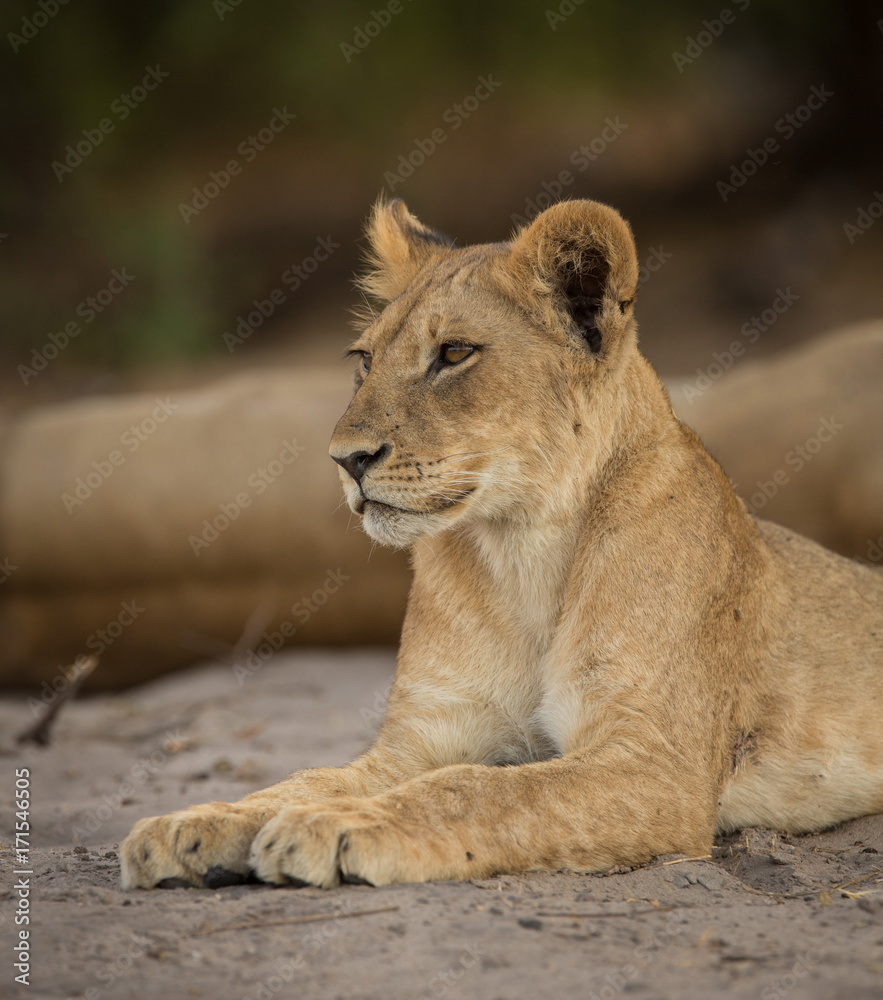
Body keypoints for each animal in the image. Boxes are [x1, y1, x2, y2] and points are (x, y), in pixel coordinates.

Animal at [120, 198, 883, 890]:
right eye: (363, 359)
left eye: (454, 353)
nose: (345, 459)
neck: (523, 551)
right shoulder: (424, 737)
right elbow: (312, 777)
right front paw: (196, 823)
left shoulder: (654, 764)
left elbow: (475, 789)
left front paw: (336, 827)